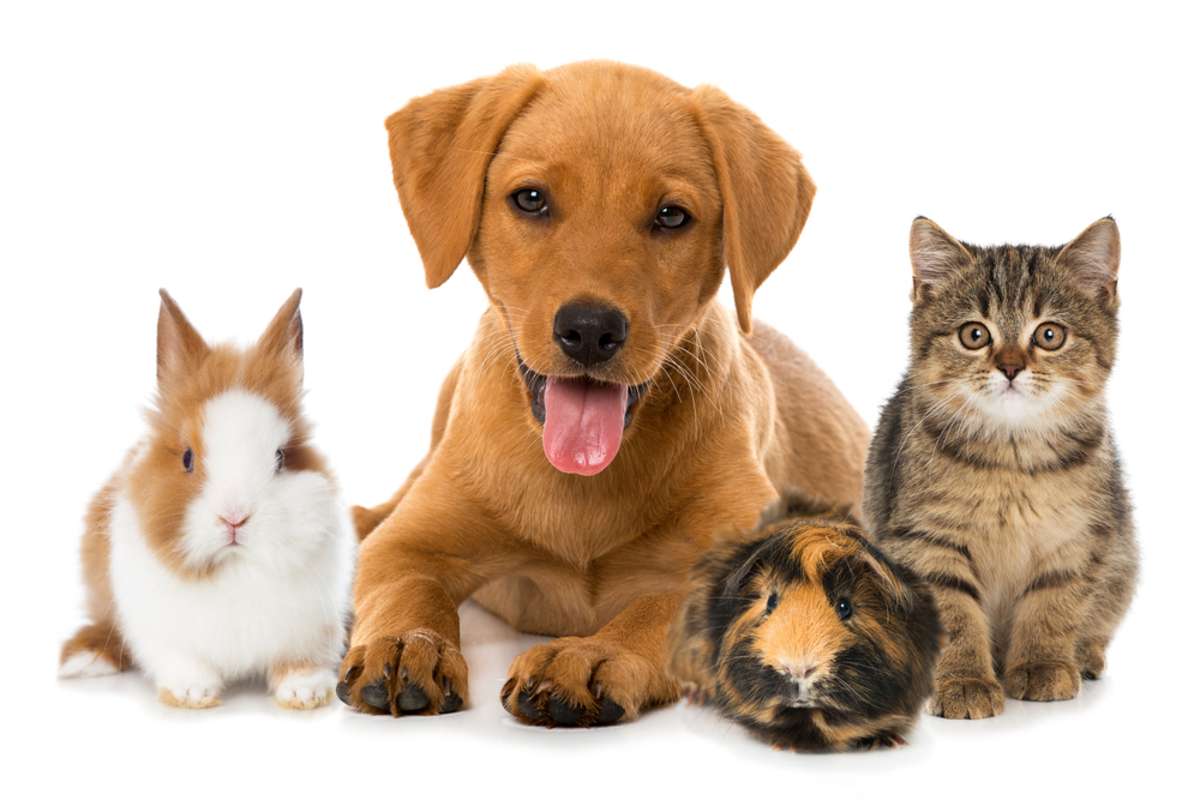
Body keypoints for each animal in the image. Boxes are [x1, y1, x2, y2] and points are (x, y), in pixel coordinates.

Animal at [58, 291, 352, 710]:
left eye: (280, 456)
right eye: (187, 458)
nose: (234, 518)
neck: (235, 568)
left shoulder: (312, 626)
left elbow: (301, 661)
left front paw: (305, 692)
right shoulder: (161, 631)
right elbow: (182, 660)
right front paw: (192, 693)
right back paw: (85, 660)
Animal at [343, 61, 868, 724]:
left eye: (672, 215)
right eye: (531, 198)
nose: (590, 329)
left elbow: (657, 607)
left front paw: (589, 654)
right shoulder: (411, 544)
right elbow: (407, 587)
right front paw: (407, 643)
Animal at [864, 217, 1132, 719]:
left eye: (1049, 335)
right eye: (974, 335)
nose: (1010, 367)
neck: (1012, 458)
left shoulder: (1073, 539)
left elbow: (1053, 606)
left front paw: (1042, 664)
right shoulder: (927, 542)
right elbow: (954, 614)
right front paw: (964, 680)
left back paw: (1084, 654)